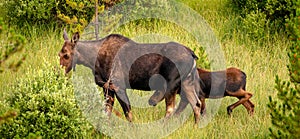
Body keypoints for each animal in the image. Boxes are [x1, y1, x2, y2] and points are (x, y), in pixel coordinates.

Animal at [59, 30, 204, 122]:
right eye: (59, 54)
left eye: (66, 55)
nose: (60, 72)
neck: (92, 60)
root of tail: (192, 55)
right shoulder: (107, 88)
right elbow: (107, 112)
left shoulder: (118, 86)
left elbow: (128, 113)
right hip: (187, 83)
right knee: (196, 105)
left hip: (171, 84)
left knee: (171, 109)